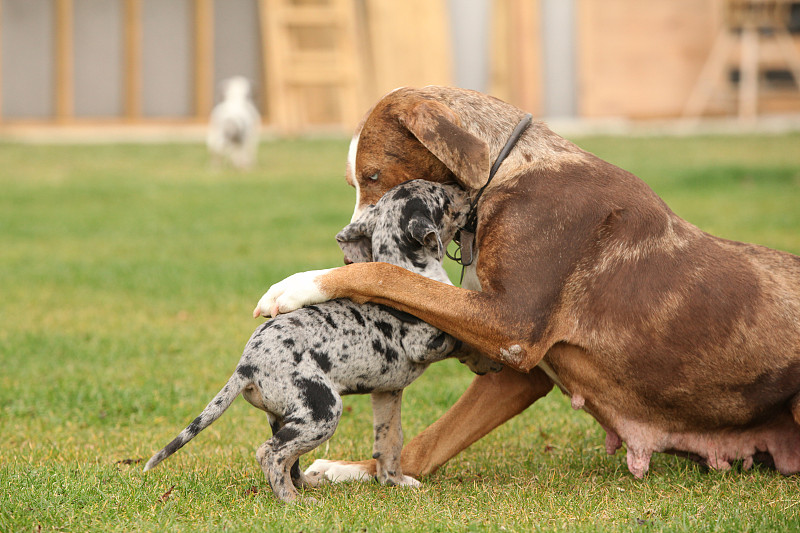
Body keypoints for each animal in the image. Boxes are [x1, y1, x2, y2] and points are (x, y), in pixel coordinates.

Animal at [141, 181, 496, 500]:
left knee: (290, 460)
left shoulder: (387, 393)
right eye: (444, 196)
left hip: (286, 417)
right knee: (270, 454)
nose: (468, 190)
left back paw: (307, 486)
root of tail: (247, 366)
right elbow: (463, 341)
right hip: (322, 410)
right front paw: (486, 357)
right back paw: (292, 500)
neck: (408, 267)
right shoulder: (428, 341)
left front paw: (394, 481)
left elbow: (389, 442)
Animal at [253, 86, 800, 482]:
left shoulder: (511, 325)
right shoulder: (518, 370)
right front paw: (357, 469)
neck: (506, 173)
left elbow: (386, 273)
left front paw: (301, 284)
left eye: (371, 176)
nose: (347, 243)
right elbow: (430, 441)